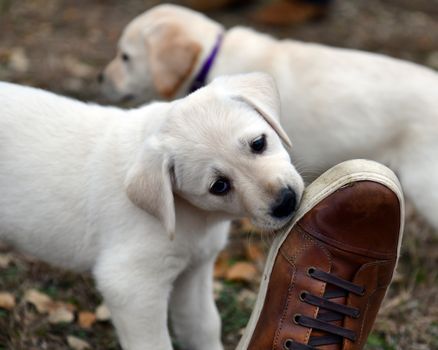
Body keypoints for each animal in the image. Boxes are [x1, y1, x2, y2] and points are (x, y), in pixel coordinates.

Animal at [0, 73, 304, 350]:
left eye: (258, 143)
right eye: (219, 186)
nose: (286, 202)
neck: (192, 217)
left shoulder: (194, 271)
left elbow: (203, 327)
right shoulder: (131, 286)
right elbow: (154, 343)